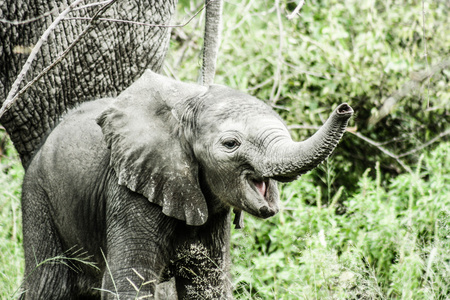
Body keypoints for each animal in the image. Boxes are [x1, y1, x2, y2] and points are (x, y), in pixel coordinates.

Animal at [20, 70, 352, 298]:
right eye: (230, 144)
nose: (345, 108)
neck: (188, 104)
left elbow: (207, 284)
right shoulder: (128, 194)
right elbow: (128, 281)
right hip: (37, 195)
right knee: (49, 283)